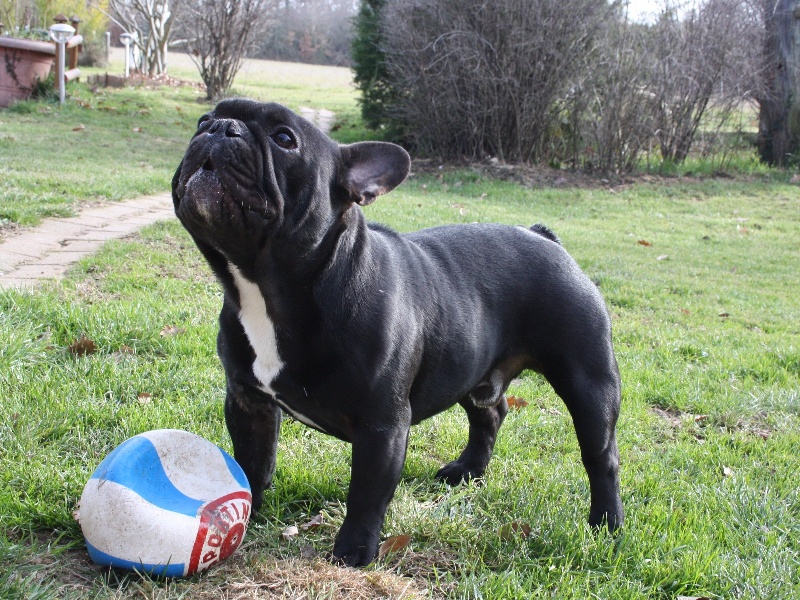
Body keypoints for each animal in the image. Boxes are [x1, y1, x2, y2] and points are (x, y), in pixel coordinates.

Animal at [172, 98, 623, 567]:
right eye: (203, 121)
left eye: (284, 139)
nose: (221, 128)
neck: (269, 290)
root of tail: (547, 238)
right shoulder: (249, 402)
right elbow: (253, 463)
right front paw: (247, 513)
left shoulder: (382, 425)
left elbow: (367, 492)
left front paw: (354, 551)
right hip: (470, 370)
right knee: (490, 413)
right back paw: (467, 471)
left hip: (589, 383)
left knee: (601, 457)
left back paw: (606, 525)